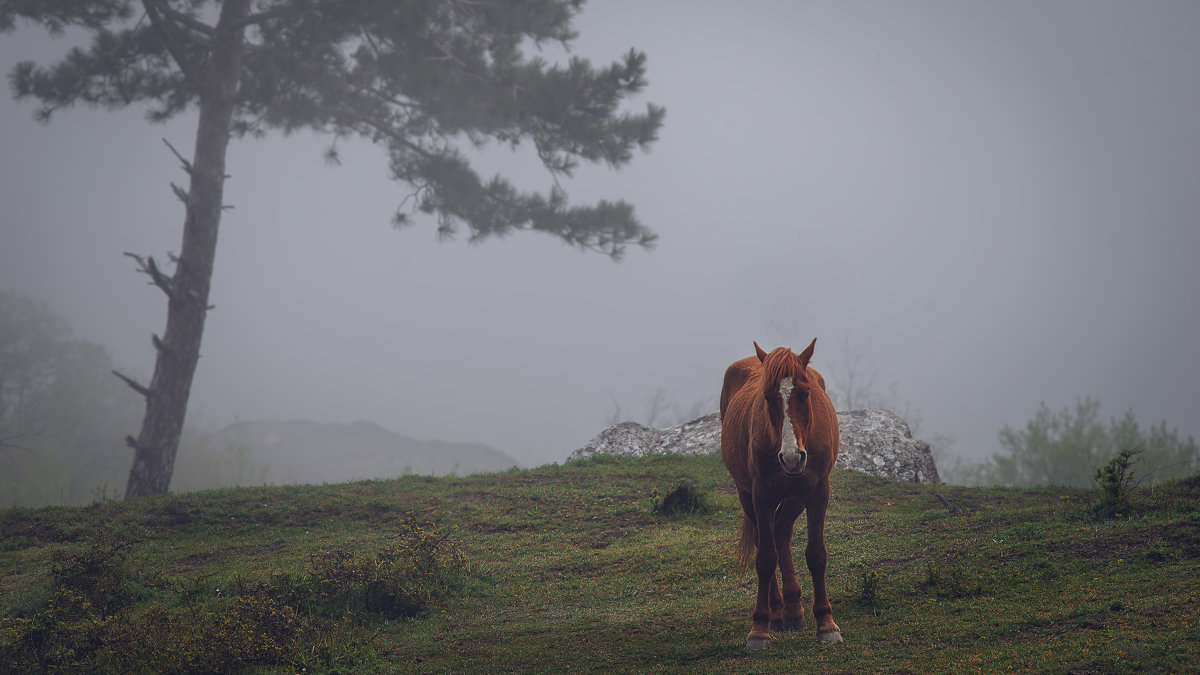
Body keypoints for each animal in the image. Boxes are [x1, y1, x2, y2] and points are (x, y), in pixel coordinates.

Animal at [720, 338, 844, 648]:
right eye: (767, 397)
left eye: (805, 393)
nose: (791, 458)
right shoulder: (761, 494)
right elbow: (765, 558)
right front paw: (759, 629)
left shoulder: (818, 490)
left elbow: (816, 555)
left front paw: (826, 624)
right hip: (748, 495)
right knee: (769, 539)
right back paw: (778, 612)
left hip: (796, 495)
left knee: (781, 530)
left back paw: (793, 609)